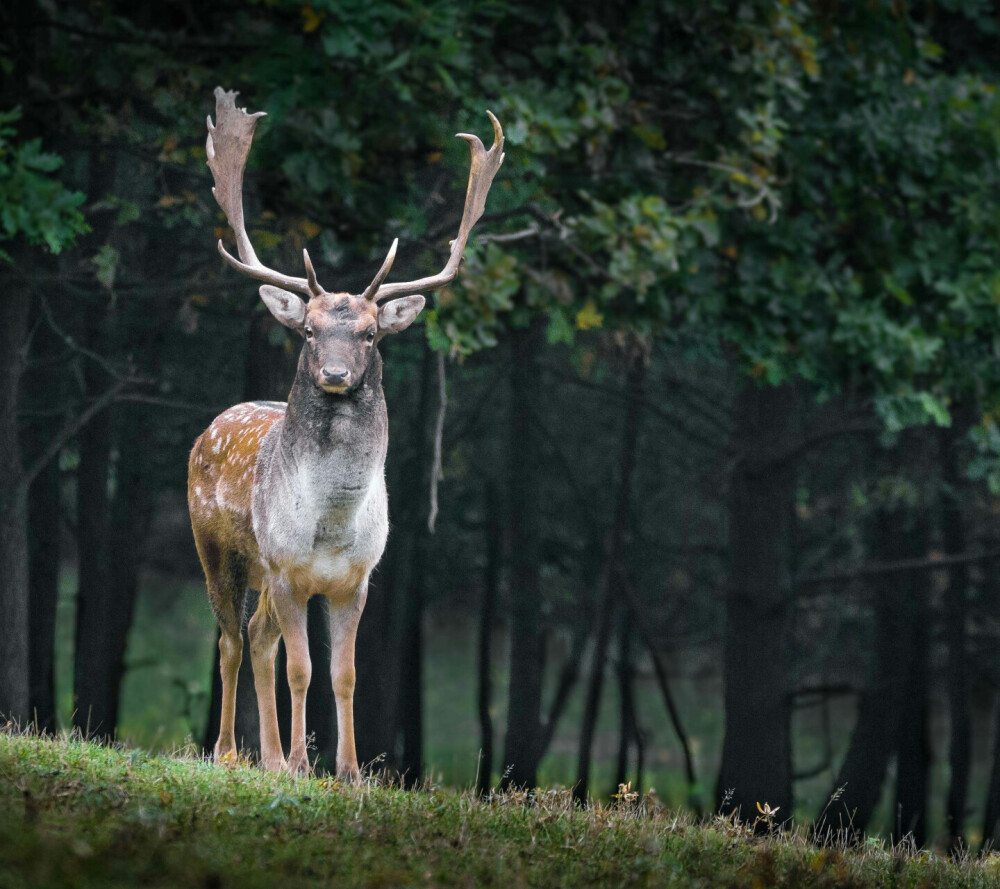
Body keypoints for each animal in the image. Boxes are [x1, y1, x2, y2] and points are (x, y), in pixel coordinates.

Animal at [188, 88, 504, 776]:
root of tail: (210, 428)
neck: (331, 526)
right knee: (230, 640)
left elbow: (345, 674)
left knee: (256, 638)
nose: (334, 373)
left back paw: (268, 757)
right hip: (218, 549)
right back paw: (230, 753)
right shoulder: (286, 569)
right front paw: (304, 765)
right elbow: (302, 670)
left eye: (370, 333)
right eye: (308, 329)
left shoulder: (357, 579)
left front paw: (349, 770)